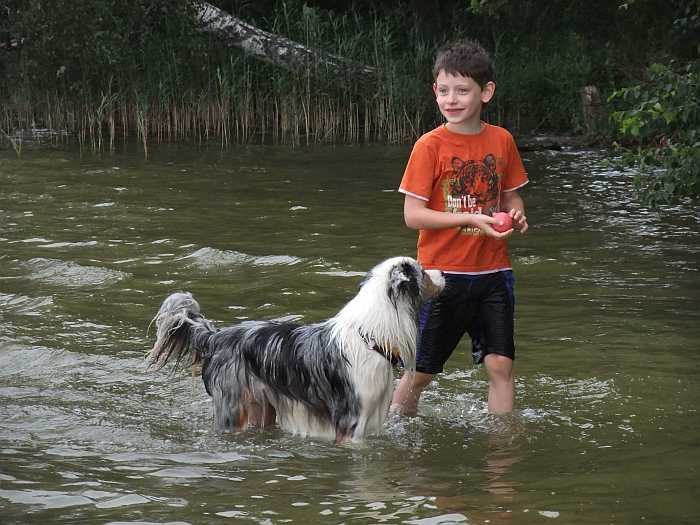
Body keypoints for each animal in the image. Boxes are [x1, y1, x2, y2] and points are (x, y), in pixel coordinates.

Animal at [147, 256, 442, 440]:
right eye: (422, 271)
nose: (443, 273)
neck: (369, 335)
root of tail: (216, 337)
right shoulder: (351, 422)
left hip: (262, 406)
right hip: (232, 408)